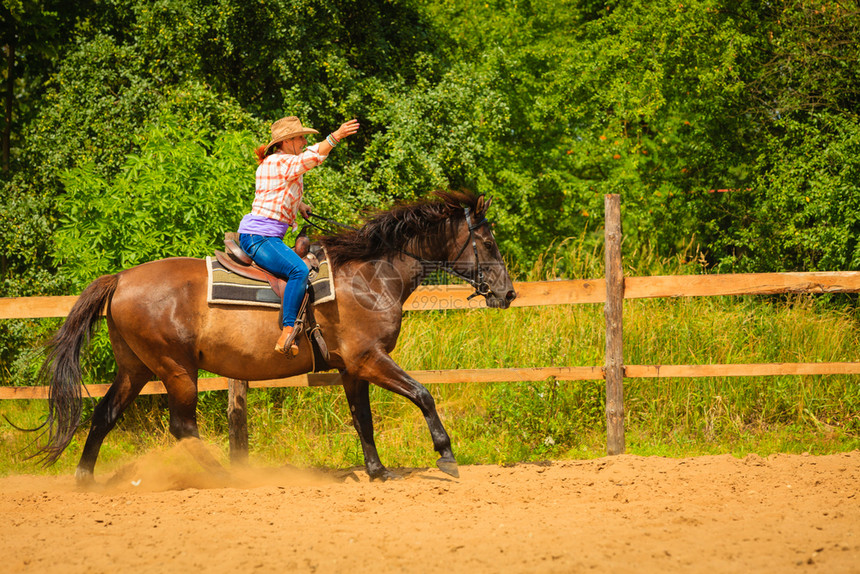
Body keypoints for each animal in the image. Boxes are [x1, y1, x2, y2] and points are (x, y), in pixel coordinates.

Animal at [37, 191, 512, 484]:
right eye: (488, 243)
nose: (507, 292)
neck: (370, 276)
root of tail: (120, 279)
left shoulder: (352, 368)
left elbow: (363, 419)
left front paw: (377, 471)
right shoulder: (369, 359)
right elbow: (422, 394)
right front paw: (446, 456)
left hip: (135, 370)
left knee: (104, 415)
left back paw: (85, 479)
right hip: (176, 370)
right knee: (182, 427)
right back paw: (227, 477)